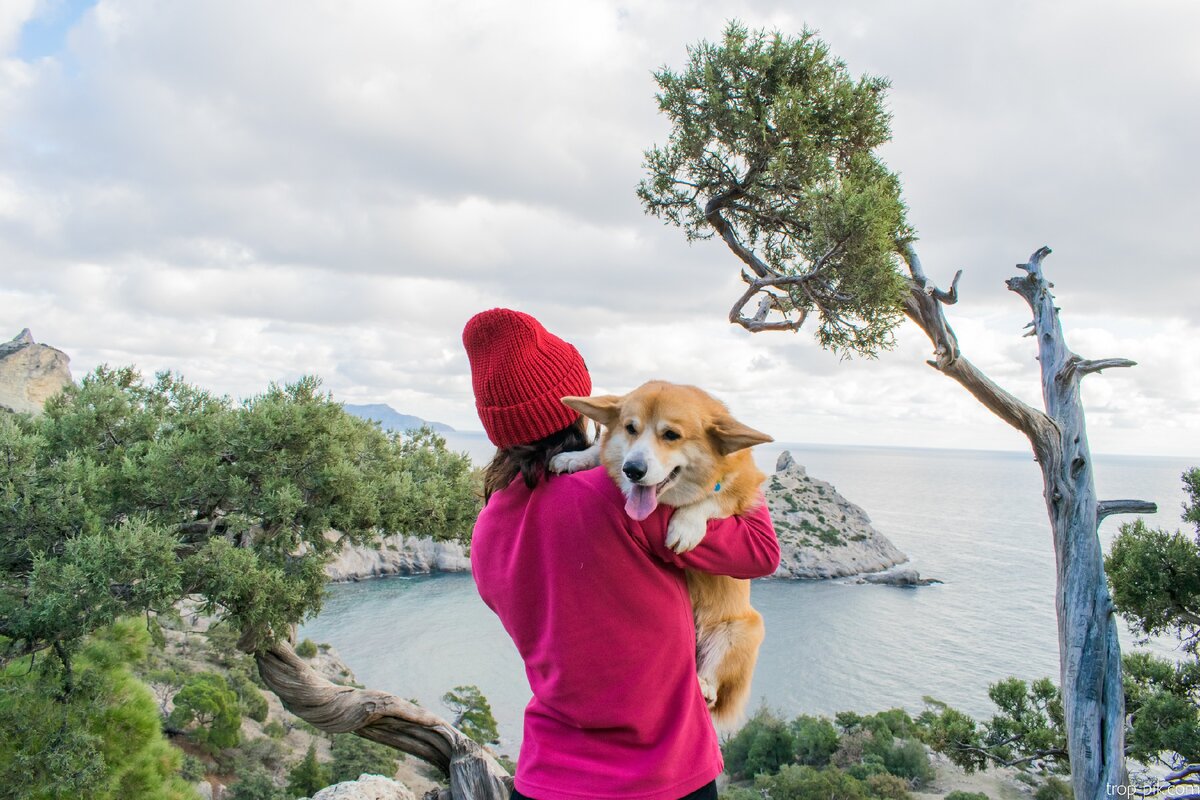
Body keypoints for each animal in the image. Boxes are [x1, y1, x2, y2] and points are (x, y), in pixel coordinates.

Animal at [554, 381, 772, 734]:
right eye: (630, 428)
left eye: (671, 435)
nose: (632, 469)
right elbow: (602, 449)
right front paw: (577, 457)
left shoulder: (746, 486)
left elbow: (713, 497)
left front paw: (686, 524)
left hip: (741, 630)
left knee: (716, 682)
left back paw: (705, 685)